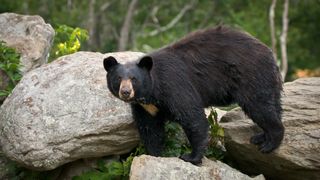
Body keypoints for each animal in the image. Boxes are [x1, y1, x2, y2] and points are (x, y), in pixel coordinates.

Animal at [104, 26, 284, 165]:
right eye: (118, 78)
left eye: (134, 79)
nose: (126, 92)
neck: (152, 92)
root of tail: (269, 52)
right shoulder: (145, 107)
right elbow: (150, 129)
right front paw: (154, 154)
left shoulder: (174, 86)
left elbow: (192, 117)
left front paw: (191, 157)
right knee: (272, 105)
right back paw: (261, 137)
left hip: (250, 75)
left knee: (259, 106)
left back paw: (269, 143)